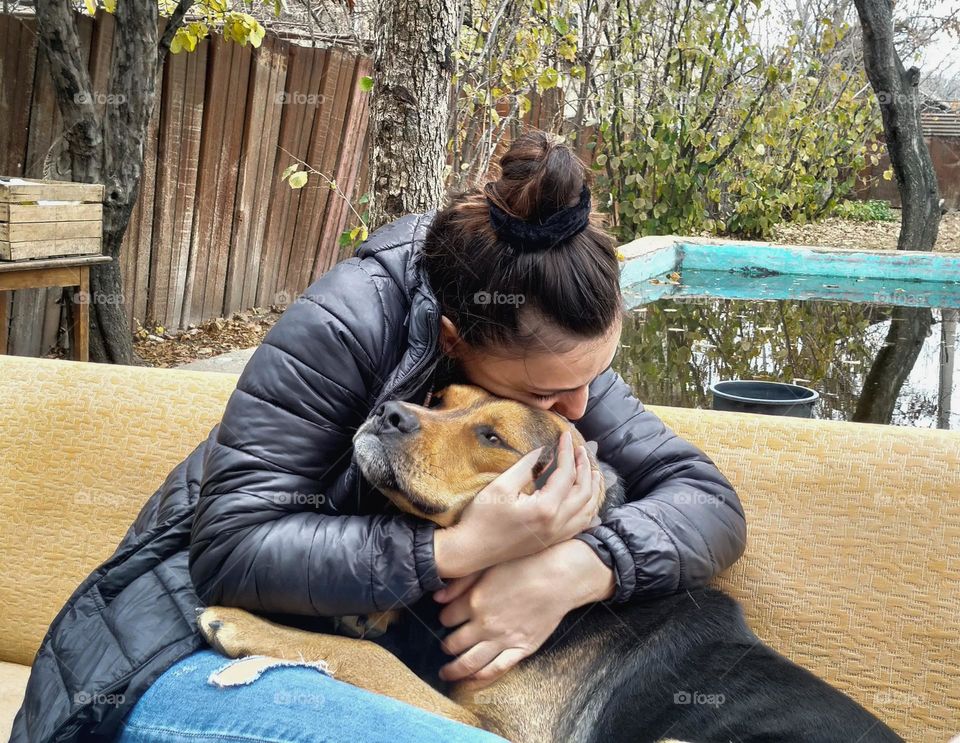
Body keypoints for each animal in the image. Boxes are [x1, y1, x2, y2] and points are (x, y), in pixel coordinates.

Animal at [199, 386, 904, 740]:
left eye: (492, 436)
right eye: (441, 396)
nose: (386, 412)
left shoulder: (501, 735)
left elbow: (376, 662)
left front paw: (249, 625)